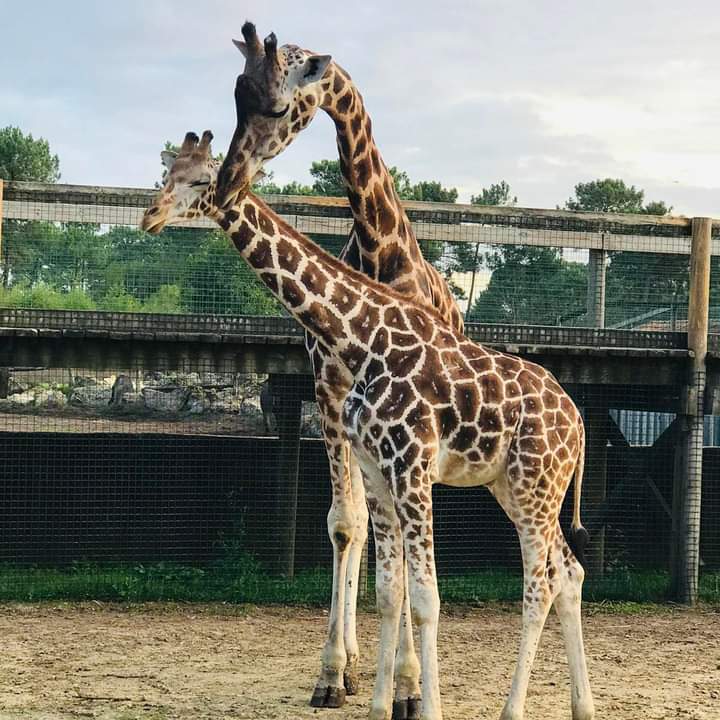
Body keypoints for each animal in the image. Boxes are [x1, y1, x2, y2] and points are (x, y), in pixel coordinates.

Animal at [142, 128, 596, 720]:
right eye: (164, 175)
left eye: (199, 180)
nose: (150, 215)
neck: (364, 336)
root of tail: (580, 426)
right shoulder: (379, 470)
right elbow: (388, 590)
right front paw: (380, 703)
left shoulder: (411, 466)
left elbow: (425, 598)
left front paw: (423, 705)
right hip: (518, 489)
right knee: (568, 572)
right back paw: (583, 706)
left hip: (535, 488)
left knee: (540, 584)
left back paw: (512, 710)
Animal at [214, 21, 464, 708]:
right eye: (235, 96)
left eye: (277, 106)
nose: (228, 178)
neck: (380, 249)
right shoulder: (329, 388)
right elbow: (344, 524)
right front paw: (331, 672)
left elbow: (393, 541)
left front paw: (407, 685)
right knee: (358, 521)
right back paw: (352, 662)